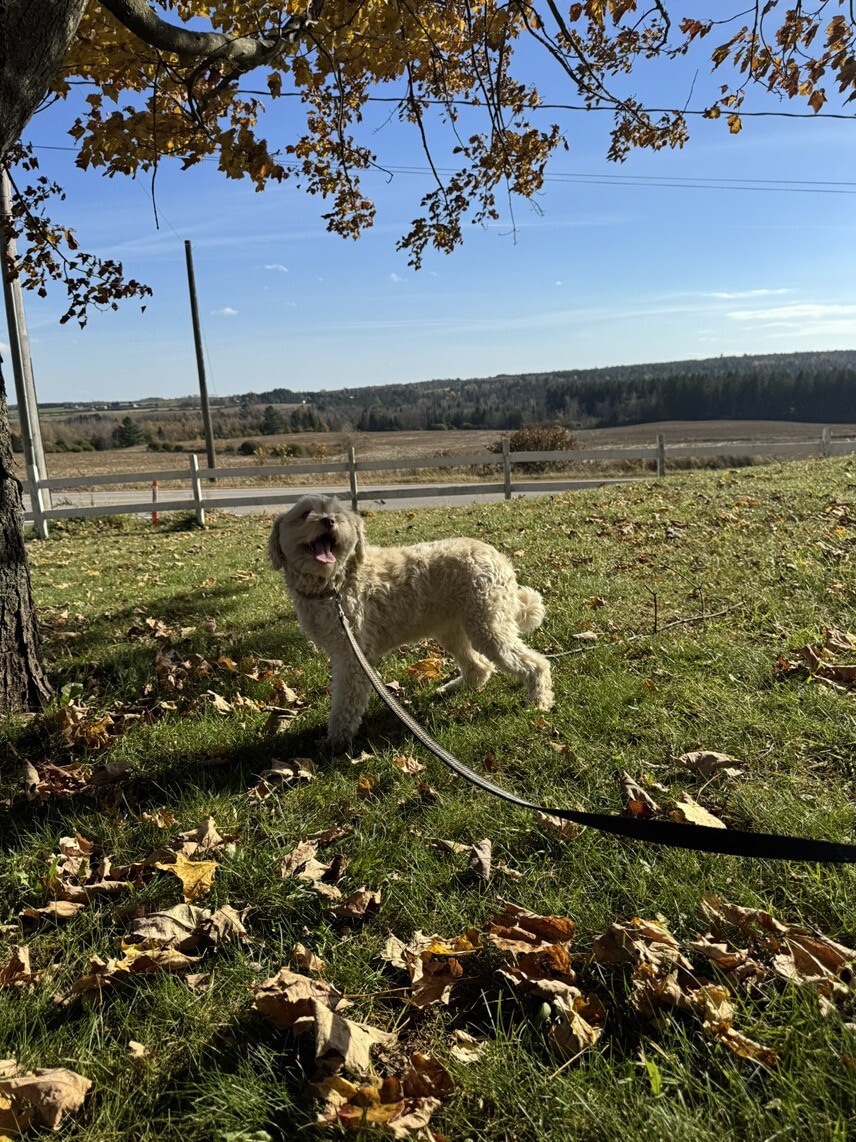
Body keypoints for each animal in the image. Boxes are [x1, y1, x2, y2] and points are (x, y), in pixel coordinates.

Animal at [267, 494, 554, 751]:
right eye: (305, 513)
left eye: (338, 514)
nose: (328, 521)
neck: (335, 584)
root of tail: (500, 559)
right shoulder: (344, 651)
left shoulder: (352, 657)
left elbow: (345, 703)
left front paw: (336, 741)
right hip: (454, 630)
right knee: (479, 666)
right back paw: (453, 688)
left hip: (487, 627)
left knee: (536, 664)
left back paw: (539, 702)